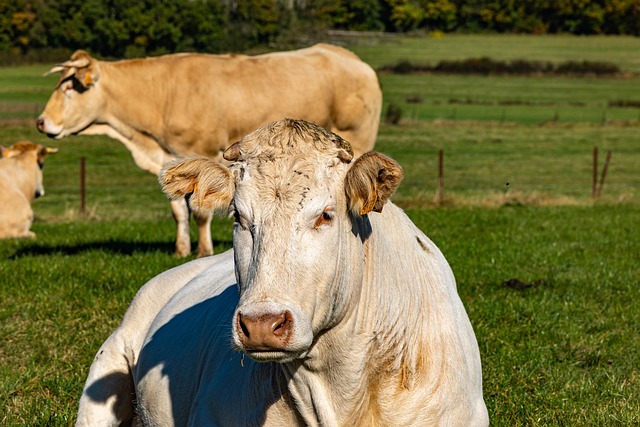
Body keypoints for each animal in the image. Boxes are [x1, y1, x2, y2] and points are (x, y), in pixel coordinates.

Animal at [36, 44, 382, 258]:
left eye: (69, 88)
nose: (41, 122)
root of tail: (349, 58)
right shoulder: (172, 159)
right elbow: (178, 210)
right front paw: (181, 249)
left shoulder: (202, 151)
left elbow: (200, 210)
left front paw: (203, 251)